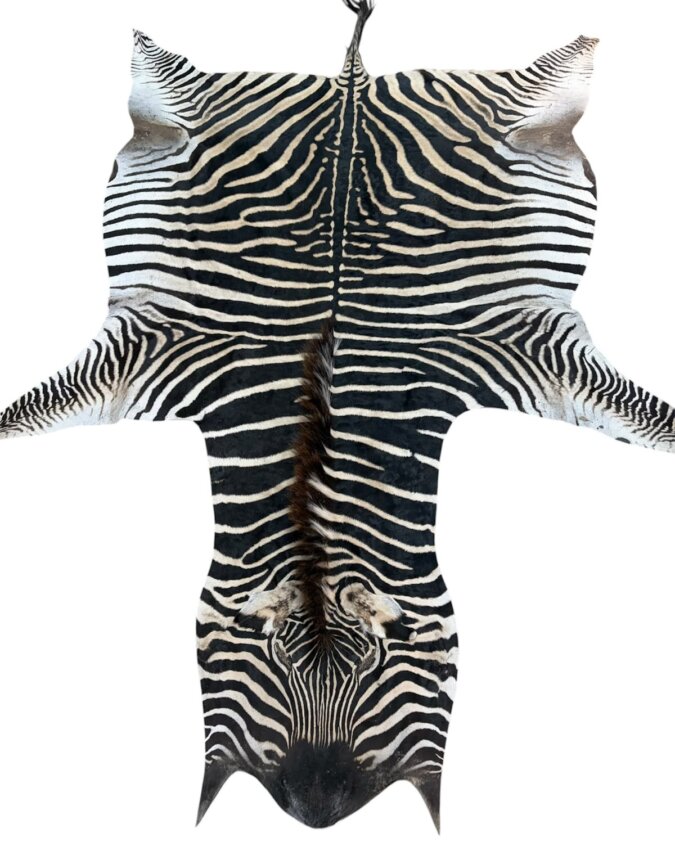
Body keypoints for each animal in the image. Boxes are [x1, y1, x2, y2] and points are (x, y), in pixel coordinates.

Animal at [1, 0, 673, 830]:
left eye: (399, 653)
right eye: (248, 652)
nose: (316, 808)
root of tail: (350, 85)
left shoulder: (518, 349)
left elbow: (640, 417)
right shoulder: (156, 349)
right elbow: (29, 412)